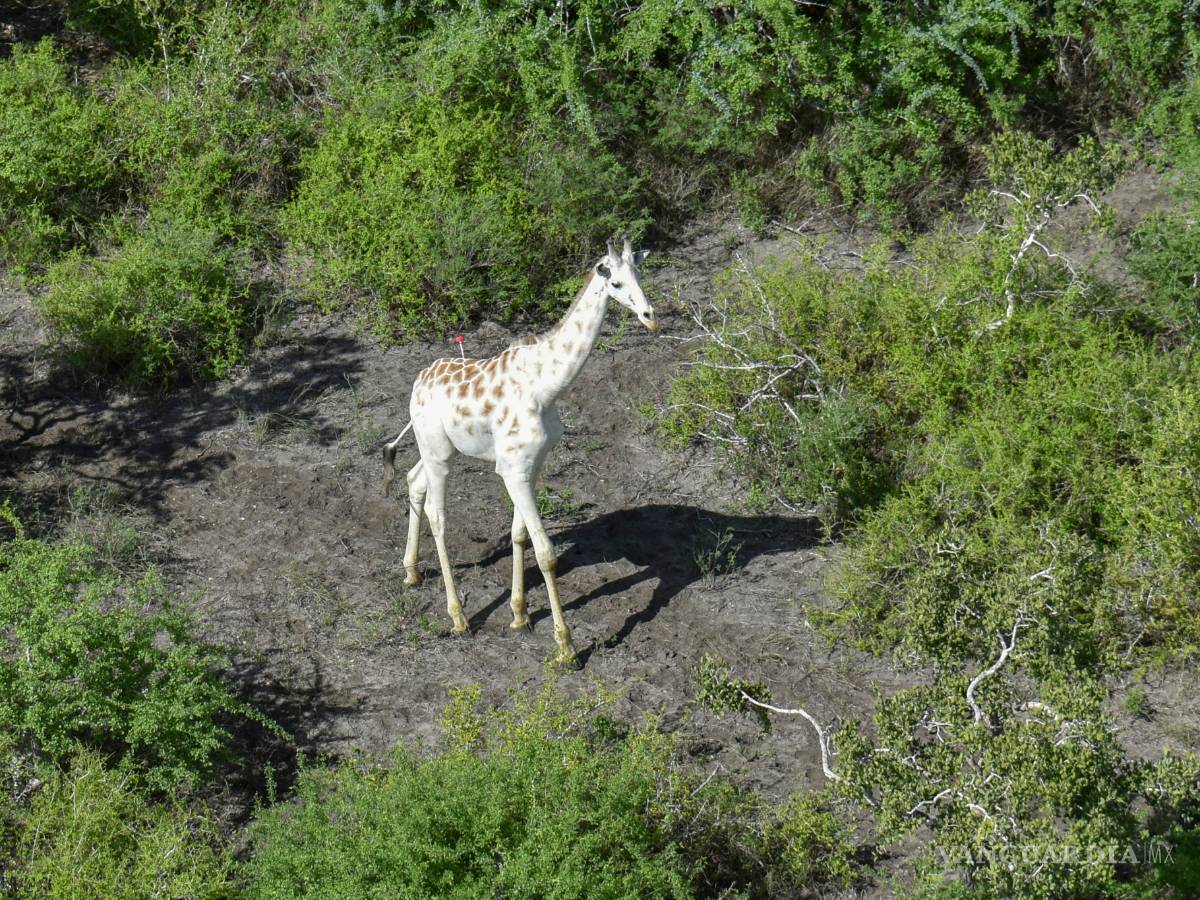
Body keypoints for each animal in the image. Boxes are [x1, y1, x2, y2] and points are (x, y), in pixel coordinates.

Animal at [382, 238, 656, 664]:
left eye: (640, 274)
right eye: (614, 282)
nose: (649, 316)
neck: (547, 387)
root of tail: (417, 383)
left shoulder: (532, 464)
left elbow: (519, 535)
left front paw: (520, 614)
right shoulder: (513, 468)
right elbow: (546, 552)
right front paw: (566, 647)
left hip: (439, 448)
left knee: (414, 481)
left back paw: (411, 572)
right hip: (438, 453)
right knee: (438, 515)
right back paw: (458, 617)